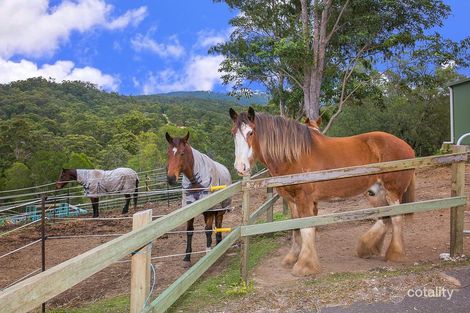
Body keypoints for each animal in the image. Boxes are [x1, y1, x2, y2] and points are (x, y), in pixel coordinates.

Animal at [166, 131, 232, 266]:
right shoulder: (190, 208)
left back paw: (219, 243)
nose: (170, 178)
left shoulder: (210, 210)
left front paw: (208, 253)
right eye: (168, 153)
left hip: (220, 208)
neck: (195, 182)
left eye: (182, 153)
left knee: (219, 223)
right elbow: (189, 231)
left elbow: (208, 230)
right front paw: (187, 257)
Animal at [229, 107, 416, 276]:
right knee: (385, 217)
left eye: (251, 132)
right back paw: (367, 248)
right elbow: (295, 228)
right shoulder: (292, 200)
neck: (294, 155)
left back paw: (395, 254)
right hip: (376, 192)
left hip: (392, 191)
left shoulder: (304, 199)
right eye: (233, 133)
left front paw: (305, 266)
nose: (240, 167)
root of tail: (407, 146)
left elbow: (306, 228)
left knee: (396, 218)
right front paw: (292, 258)